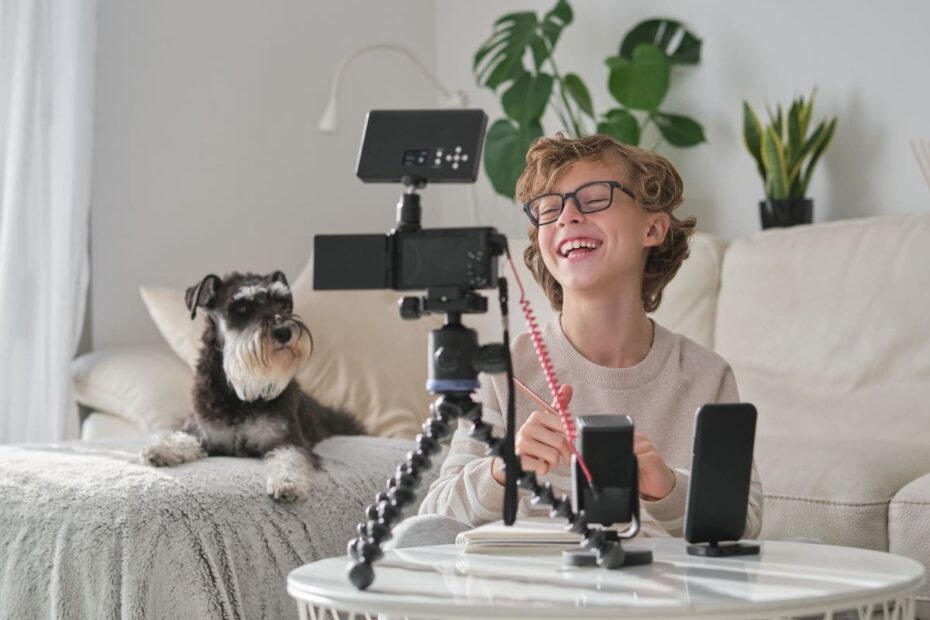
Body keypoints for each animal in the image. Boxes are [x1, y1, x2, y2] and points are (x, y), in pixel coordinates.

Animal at [141, 268, 366, 502]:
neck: (240, 396)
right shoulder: (202, 430)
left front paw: (288, 482)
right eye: (242, 308)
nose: (284, 332)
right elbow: (183, 437)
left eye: (283, 304)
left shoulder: (288, 439)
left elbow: (290, 458)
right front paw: (161, 449)